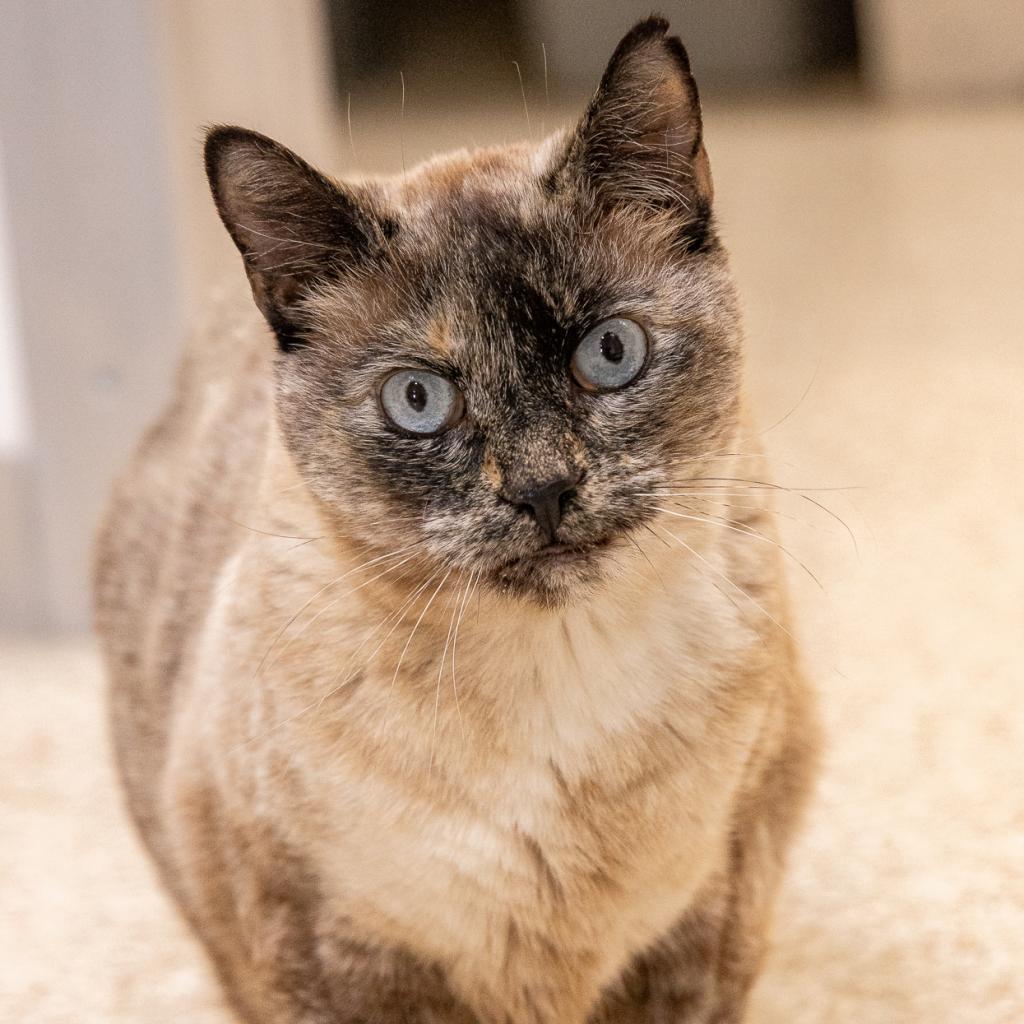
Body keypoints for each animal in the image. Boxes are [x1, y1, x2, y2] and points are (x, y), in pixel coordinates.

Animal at [94, 18, 815, 1024]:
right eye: (419, 401)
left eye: (610, 352)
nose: (544, 489)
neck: (556, 688)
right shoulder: (338, 958)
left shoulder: (698, 930)